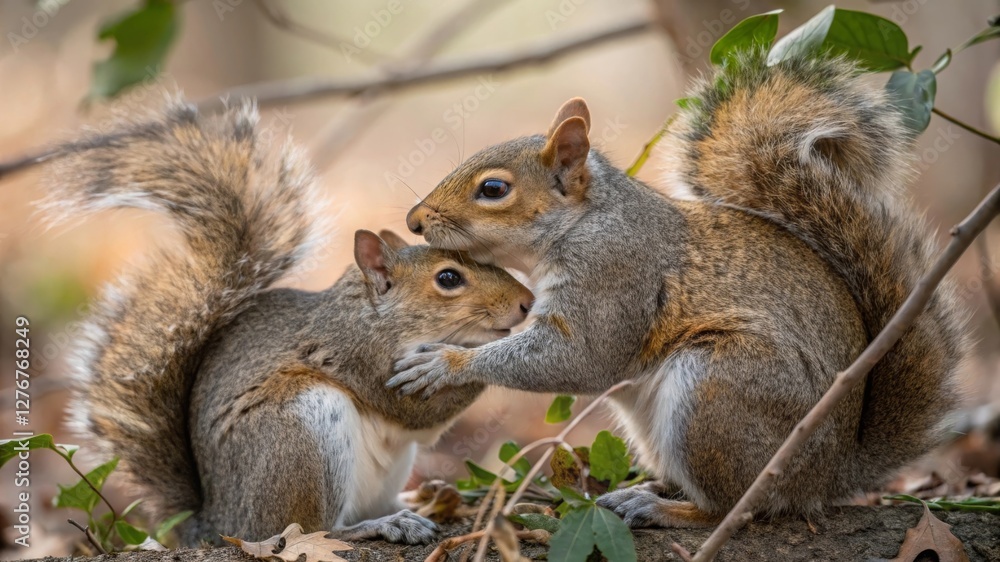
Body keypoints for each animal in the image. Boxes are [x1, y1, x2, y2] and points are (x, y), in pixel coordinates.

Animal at [42, 100, 534, 545]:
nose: (527, 303)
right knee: (312, 529)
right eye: (449, 278)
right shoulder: (356, 353)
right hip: (299, 428)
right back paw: (383, 525)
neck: (377, 318)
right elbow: (414, 410)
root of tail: (218, 523)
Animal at [389, 49, 967, 527]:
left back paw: (668, 509)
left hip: (719, 392)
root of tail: (829, 475)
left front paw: (446, 363)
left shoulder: (616, 272)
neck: (585, 221)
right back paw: (649, 489)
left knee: (737, 507)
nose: (415, 220)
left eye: (493, 189)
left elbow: (580, 358)